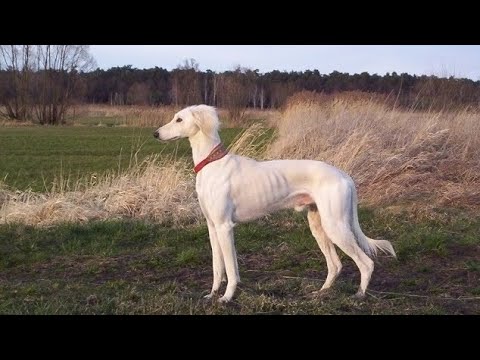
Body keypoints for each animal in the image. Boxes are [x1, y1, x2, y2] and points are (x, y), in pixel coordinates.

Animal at [156, 105, 396, 302]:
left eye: (179, 119)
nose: (155, 134)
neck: (211, 163)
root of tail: (345, 175)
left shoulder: (224, 226)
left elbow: (230, 270)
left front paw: (226, 298)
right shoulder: (213, 227)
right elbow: (219, 267)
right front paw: (213, 294)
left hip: (335, 226)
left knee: (366, 263)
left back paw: (359, 295)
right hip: (318, 225)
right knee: (335, 265)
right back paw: (321, 293)